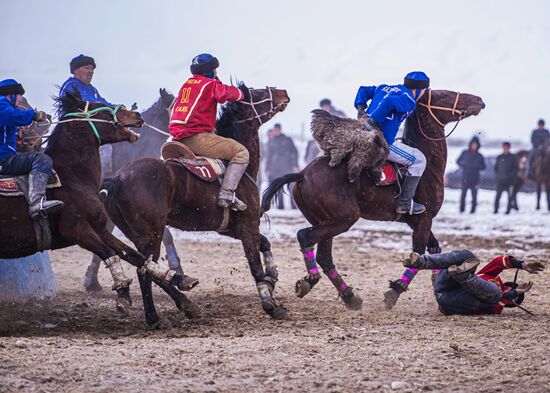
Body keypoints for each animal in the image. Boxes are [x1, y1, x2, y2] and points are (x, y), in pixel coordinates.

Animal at [0, 92, 155, 318]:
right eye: (105, 108)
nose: (137, 115)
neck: (72, 175)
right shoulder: (76, 230)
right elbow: (110, 254)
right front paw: (123, 294)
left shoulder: (99, 228)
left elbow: (135, 256)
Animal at [99, 82, 292, 324]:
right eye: (257, 93)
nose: (283, 92)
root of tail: (116, 178)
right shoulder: (247, 225)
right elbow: (255, 266)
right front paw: (270, 304)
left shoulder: (230, 228)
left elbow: (264, 243)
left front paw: (272, 276)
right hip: (151, 234)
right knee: (145, 271)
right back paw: (156, 317)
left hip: (138, 236)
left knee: (148, 267)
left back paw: (184, 303)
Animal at [260, 88, 486, 310]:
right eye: (445, 95)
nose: (479, 100)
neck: (429, 165)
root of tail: (303, 174)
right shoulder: (424, 219)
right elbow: (418, 255)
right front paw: (395, 291)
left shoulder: (418, 221)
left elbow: (433, 249)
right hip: (343, 219)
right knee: (305, 237)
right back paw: (311, 281)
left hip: (326, 221)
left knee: (324, 257)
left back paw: (349, 296)